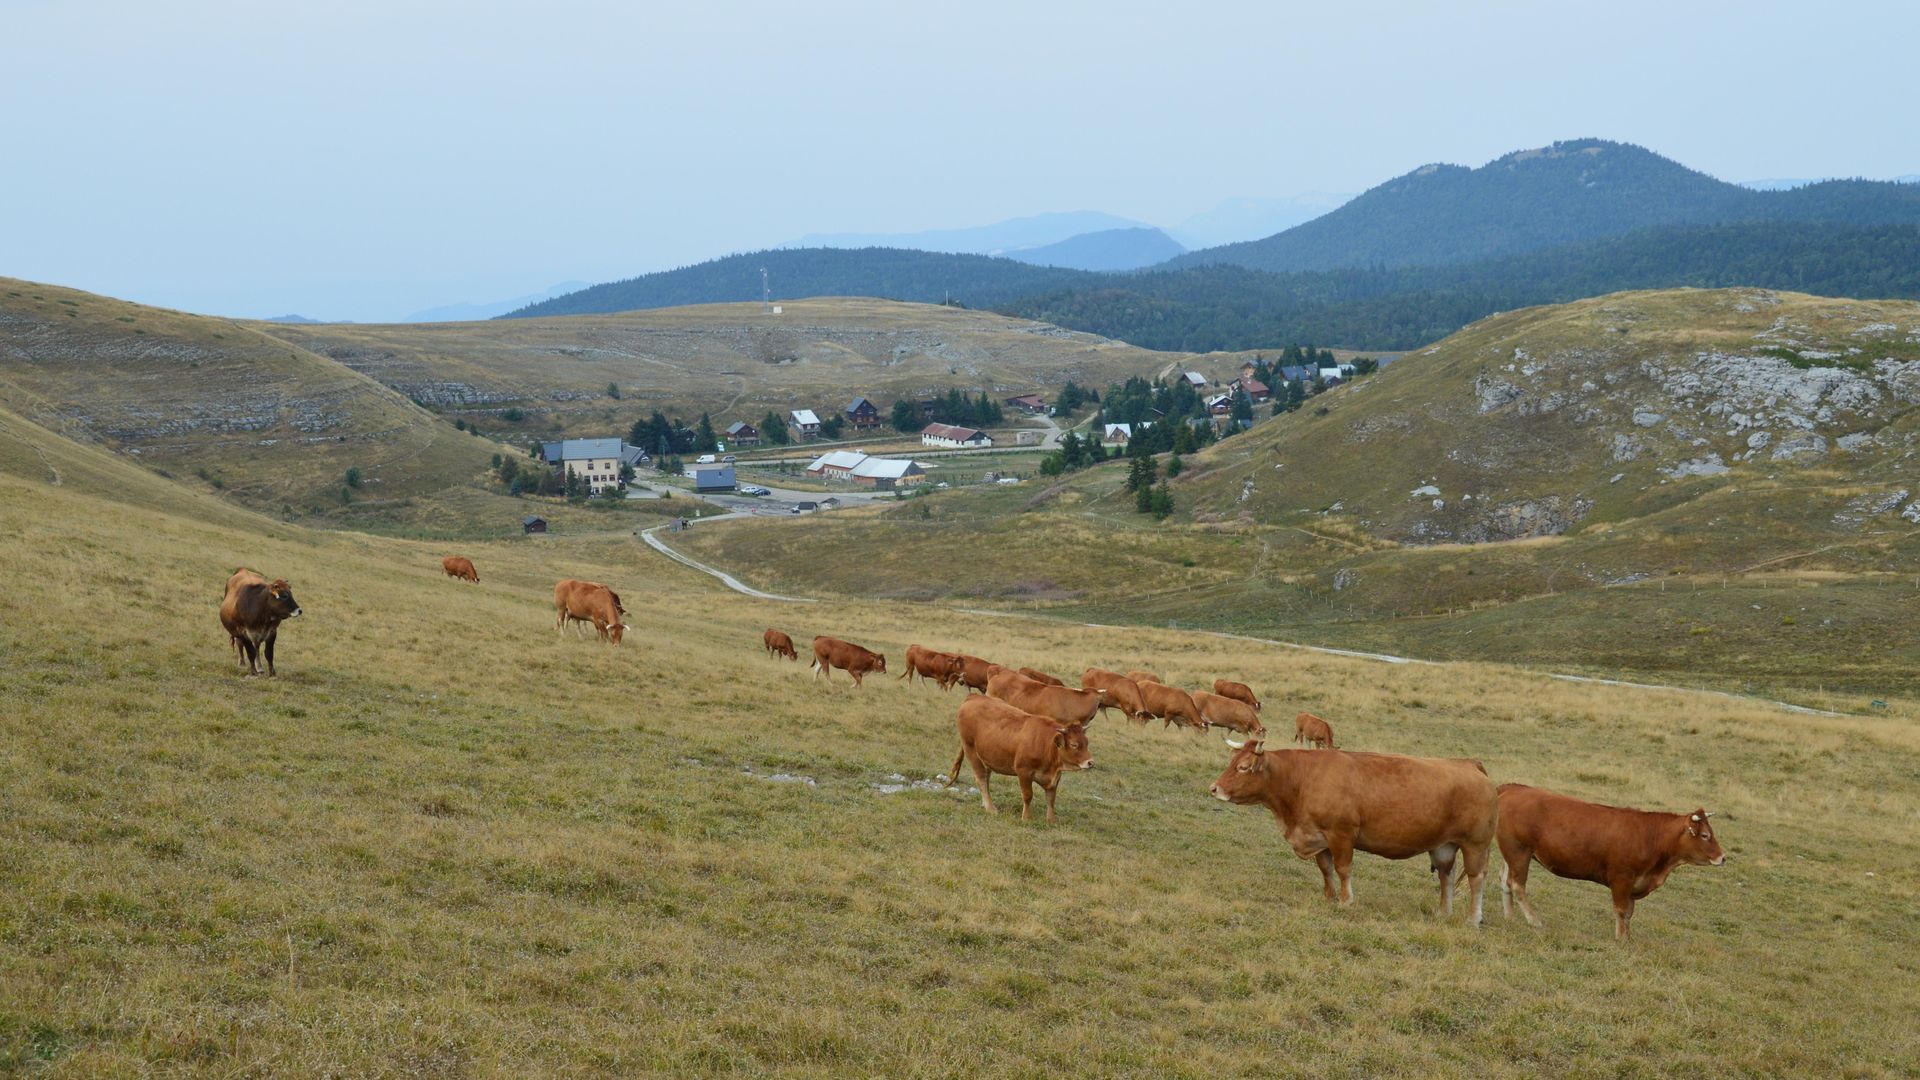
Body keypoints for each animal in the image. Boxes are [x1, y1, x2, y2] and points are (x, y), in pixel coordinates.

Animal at [945, 695, 1093, 822]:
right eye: (1074, 745)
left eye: (1087, 742)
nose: (1090, 762)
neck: (1046, 744)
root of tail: (974, 697)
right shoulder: (1024, 771)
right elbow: (1028, 795)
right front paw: (1026, 817)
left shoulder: (1055, 777)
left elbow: (1051, 798)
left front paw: (1051, 820)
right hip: (970, 750)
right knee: (981, 778)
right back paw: (991, 808)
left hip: (986, 757)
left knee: (986, 778)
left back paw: (985, 804)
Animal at [1211, 739, 1498, 924]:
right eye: (1231, 761)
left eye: (1243, 767)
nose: (1214, 788)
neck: (1301, 779)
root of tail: (1469, 765)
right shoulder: (1319, 837)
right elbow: (1325, 869)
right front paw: (1329, 897)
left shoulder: (1341, 835)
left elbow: (1342, 868)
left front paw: (1346, 901)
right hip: (1443, 846)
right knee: (1446, 876)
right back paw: (1443, 912)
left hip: (1475, 845)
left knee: (1476, 879)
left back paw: (1473, 918)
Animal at [1495, 784, 1727, 942]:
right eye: (1705, 835)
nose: (1723, 857)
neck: (1651, 836)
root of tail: (1513, 788)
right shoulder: (1622, 879)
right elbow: (1622, 910)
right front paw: (1621, 938)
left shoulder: (1634, 884)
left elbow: (1630, 913)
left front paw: (1628, 937)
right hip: (1519, 852)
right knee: (1517, 885)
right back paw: (1534, 920)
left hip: (1512, 854)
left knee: (1505, 882)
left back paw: (1509, 917)